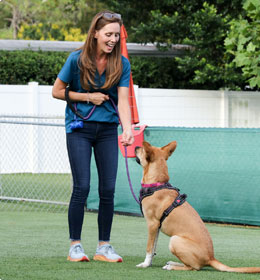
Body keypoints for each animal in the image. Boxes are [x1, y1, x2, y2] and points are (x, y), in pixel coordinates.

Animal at [134, 141, 260, 272]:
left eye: (142, 150)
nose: (136, 147)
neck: (157, 184)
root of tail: (211, 258)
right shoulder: (157, 227)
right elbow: (154, 247)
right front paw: (149, 263)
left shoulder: (152, 224)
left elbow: (149, 248)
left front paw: (145, 264)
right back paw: (172, 263)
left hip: (175, 240)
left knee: (193, 267)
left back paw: (172, 266)